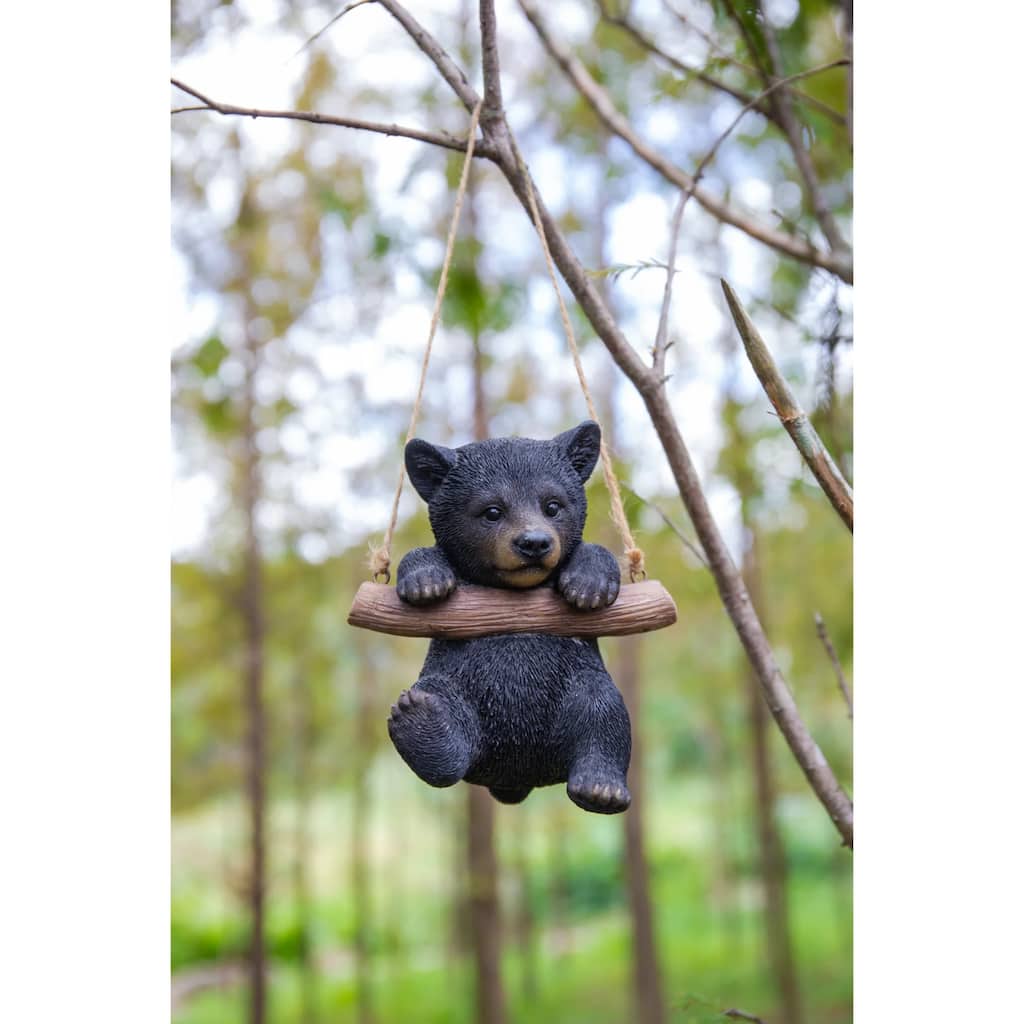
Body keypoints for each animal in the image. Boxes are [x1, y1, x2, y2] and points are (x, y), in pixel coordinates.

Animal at [386, 420, 632, 814]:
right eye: (492, 511)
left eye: (553, 506)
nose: (534, 543)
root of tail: (515, 779)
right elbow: (424, 555)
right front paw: (426, 581)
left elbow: (594, 552)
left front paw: (587, 584)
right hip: (459, 690)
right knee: (446, 714)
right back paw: (420, 723)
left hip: (574, 691)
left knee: (602, 710)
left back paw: (600, 789)